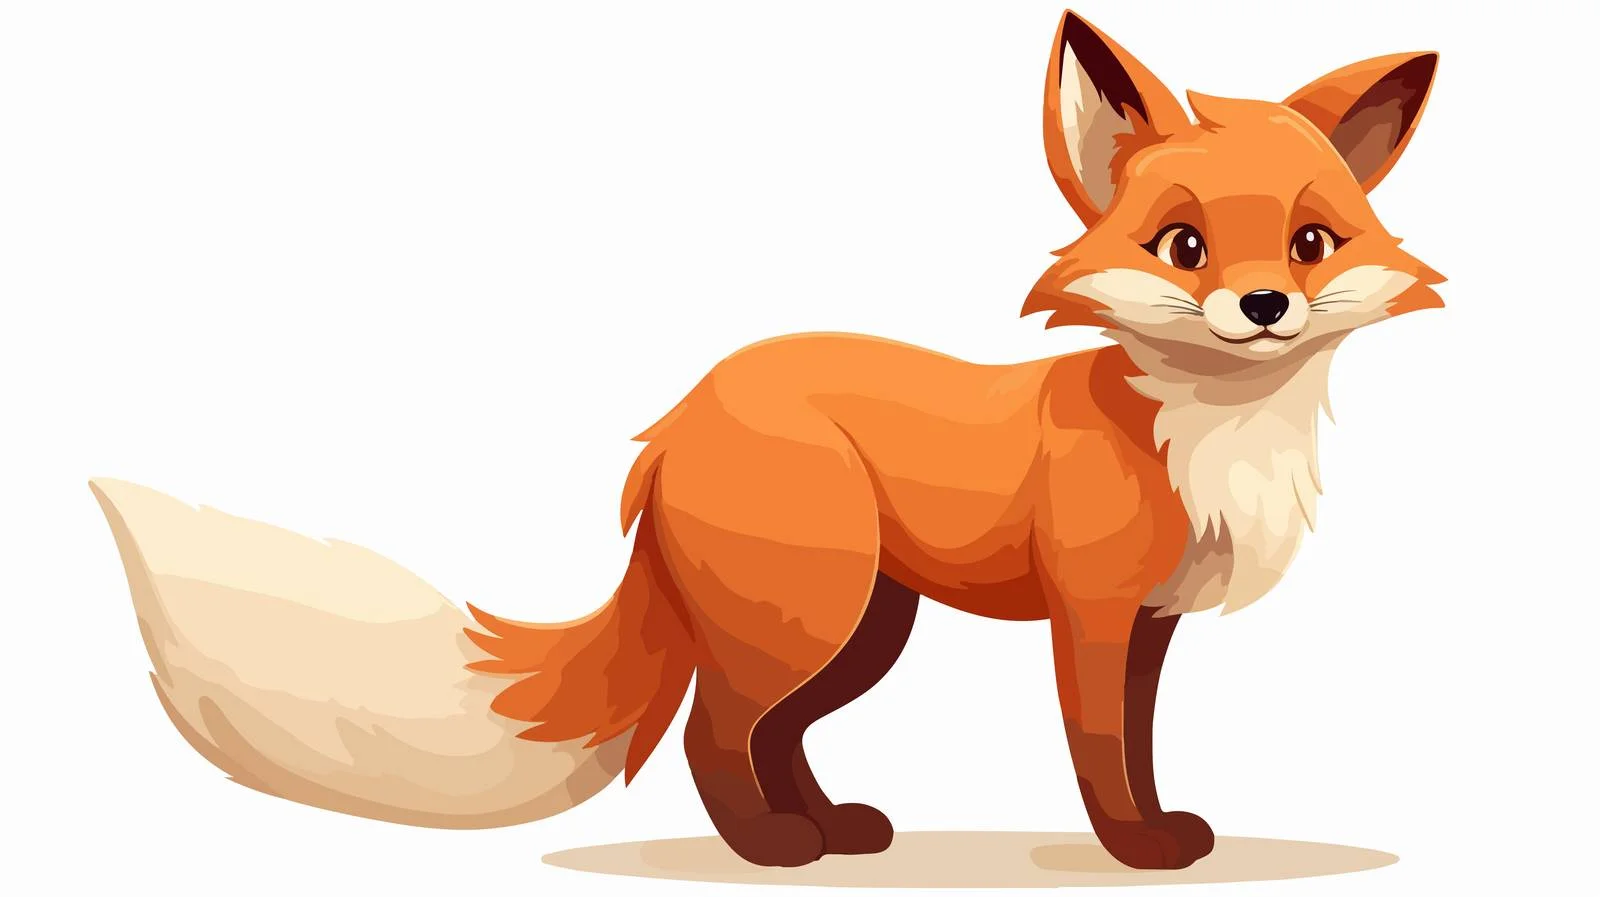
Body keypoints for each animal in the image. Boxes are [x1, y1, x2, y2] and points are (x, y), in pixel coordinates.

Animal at [95, 10, 1441, 872]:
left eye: (1310, 244)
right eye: (1182, 247)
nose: (1261, 306)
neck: (1201, 427)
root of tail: (680, 414)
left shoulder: (1150, 623)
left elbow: (1144, 742)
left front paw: (1158, 829)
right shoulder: (1091, 613)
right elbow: (1098, 747)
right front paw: (1132, 849)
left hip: (856, 625)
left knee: (769, 730)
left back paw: (830, 827)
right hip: (813, 612)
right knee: (712, 730)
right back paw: (767, 848)